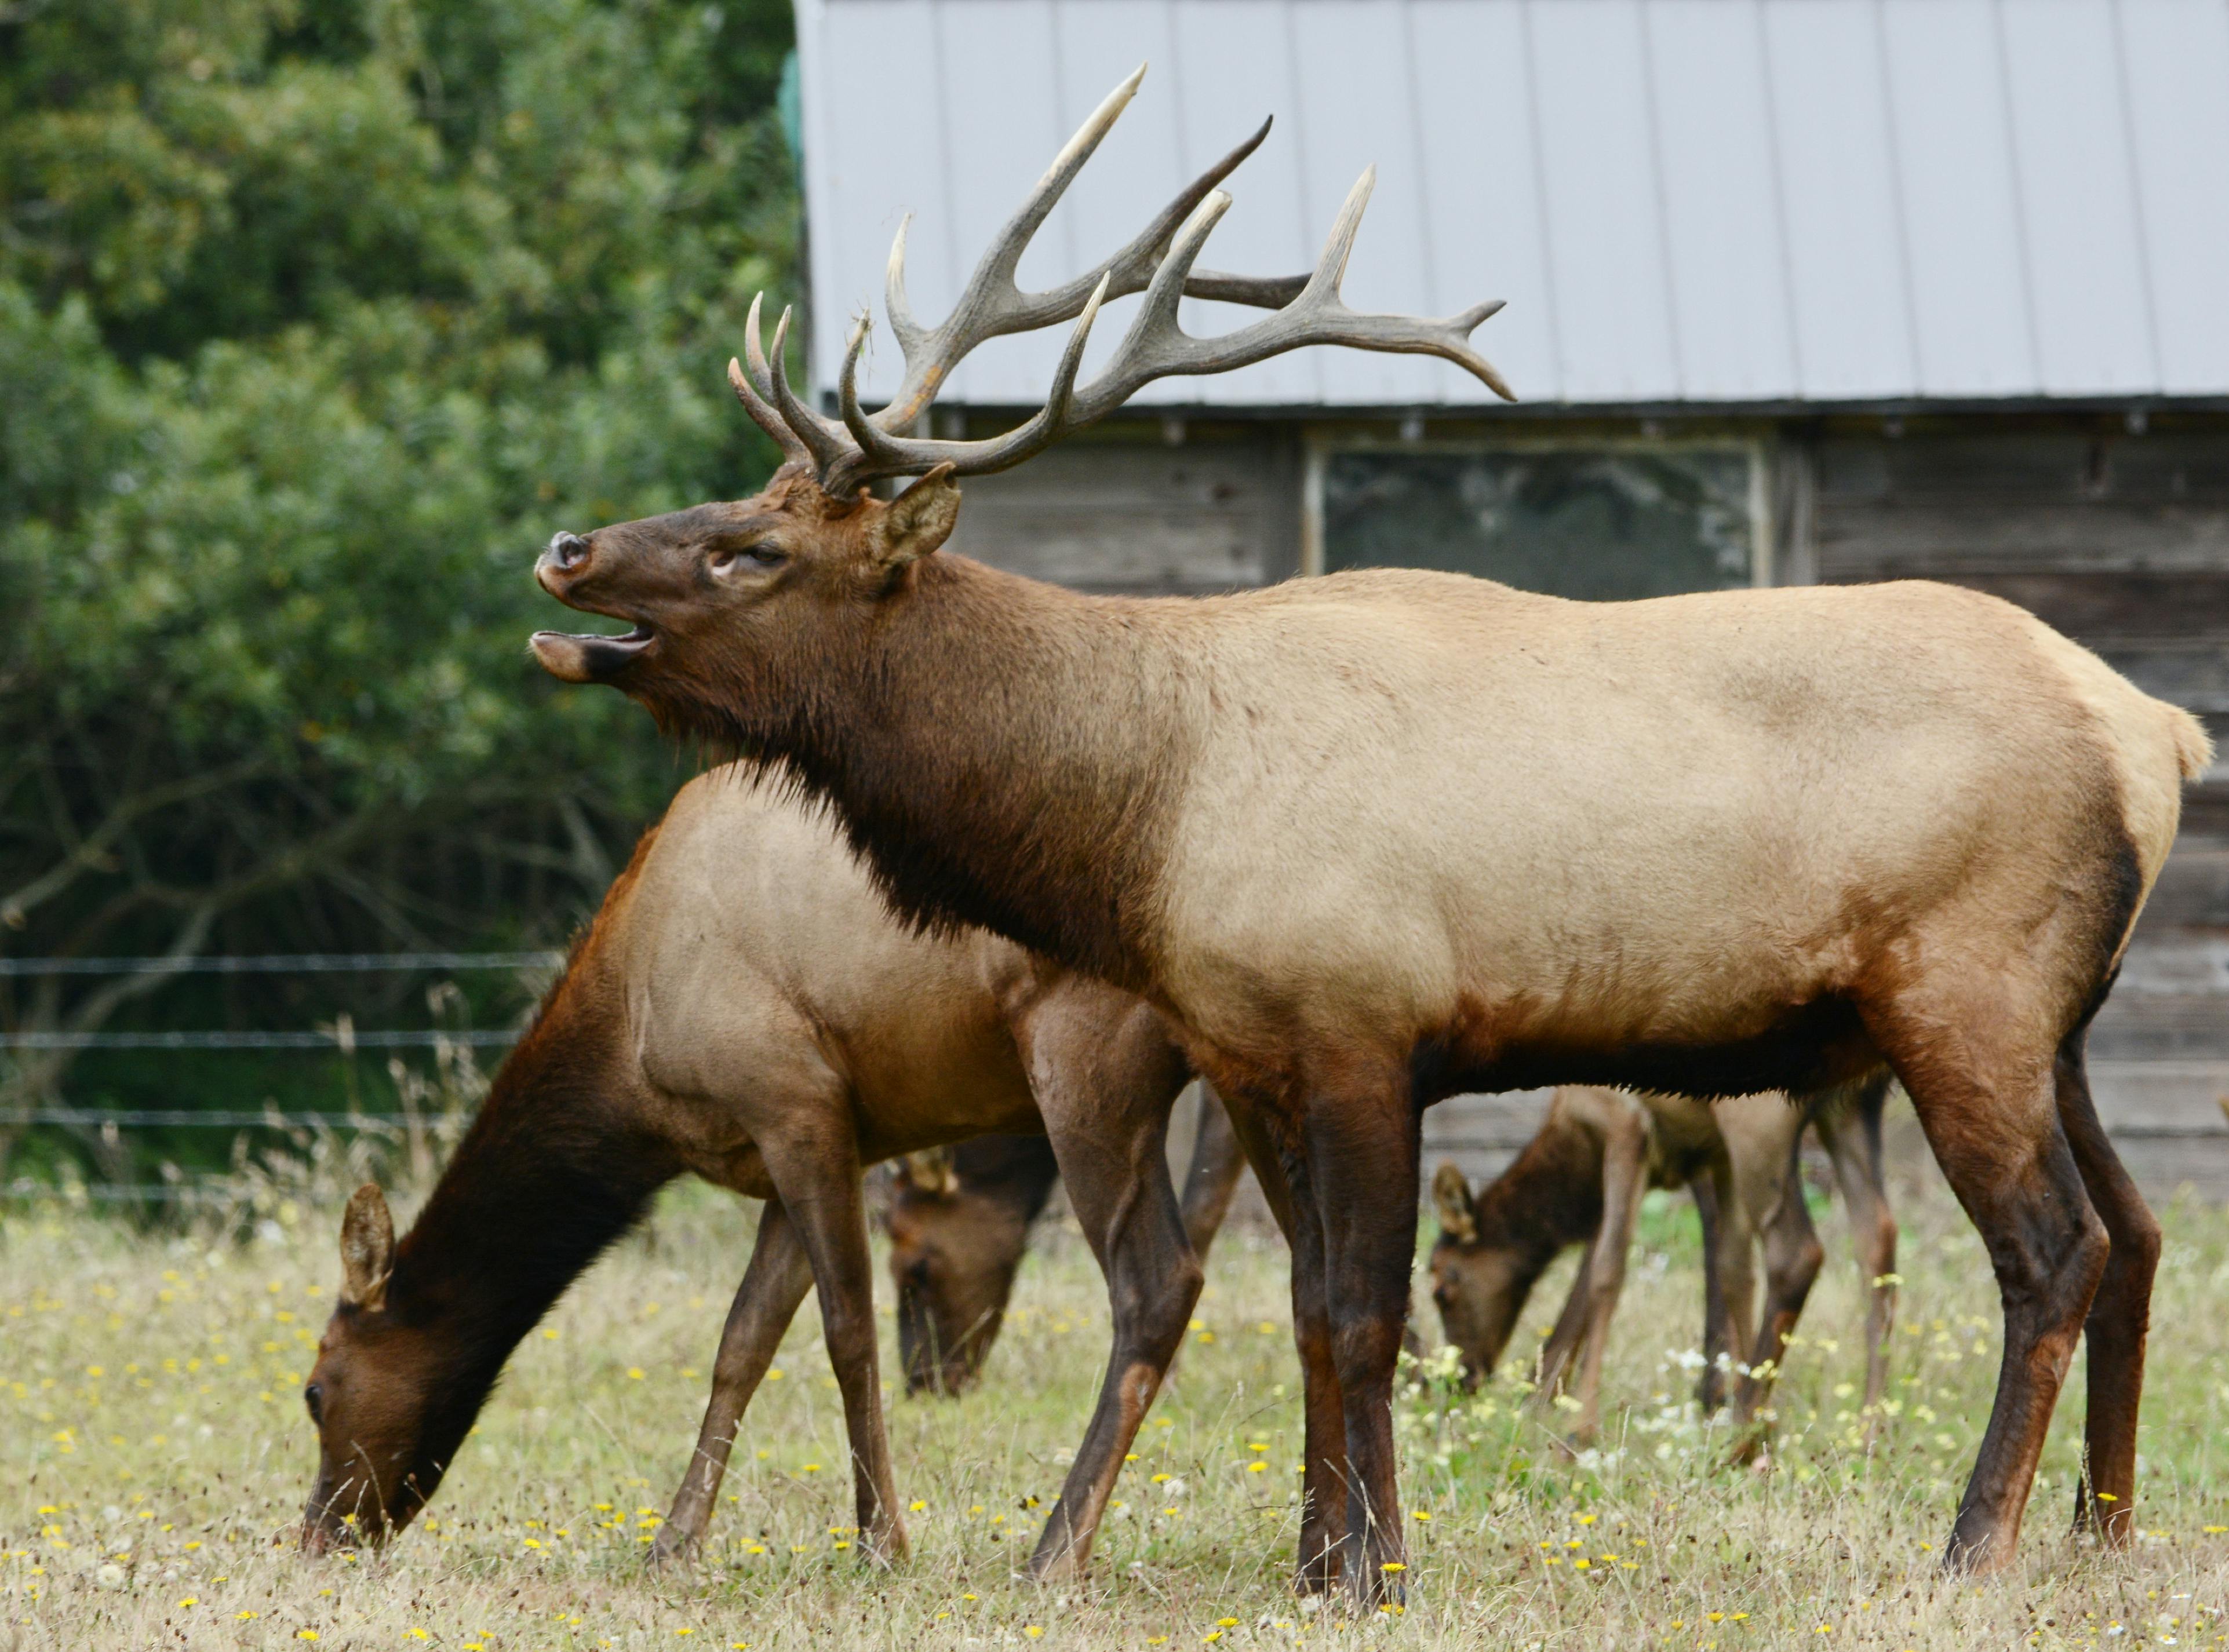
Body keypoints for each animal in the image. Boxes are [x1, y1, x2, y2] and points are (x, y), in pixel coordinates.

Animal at [1427, 1076, 1898, 1451]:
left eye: (1442, 1288)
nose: (1460, 1380)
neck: (1572, 1130)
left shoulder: (1624, 1125)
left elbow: (1605, 1272)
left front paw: (1574, 1427)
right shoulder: (1712, 1154)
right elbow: (1734, 1272)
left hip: (1760, 1123)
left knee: (1797, 1252)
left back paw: (1744, 1440)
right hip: (1850, 1112)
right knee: (1878, 1243)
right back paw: (1866, 1433)